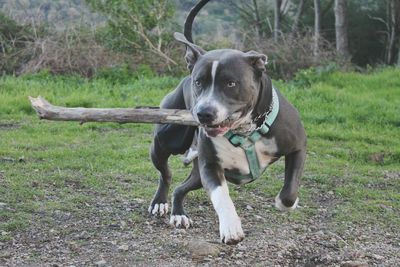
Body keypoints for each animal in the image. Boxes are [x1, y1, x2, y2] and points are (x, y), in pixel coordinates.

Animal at [147, 0, 306, 246]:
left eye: (231, 83)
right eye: (198, 82)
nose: (203, 113)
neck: (245, 130)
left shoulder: (298, 146)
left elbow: (290, 188)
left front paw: (286, 202)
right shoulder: (211, 167)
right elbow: (221, 197)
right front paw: (231, 227)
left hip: (196, 174)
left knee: (181, 188)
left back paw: (179, 214)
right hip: (166, 141)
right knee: (166, 174)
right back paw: (161, 203)